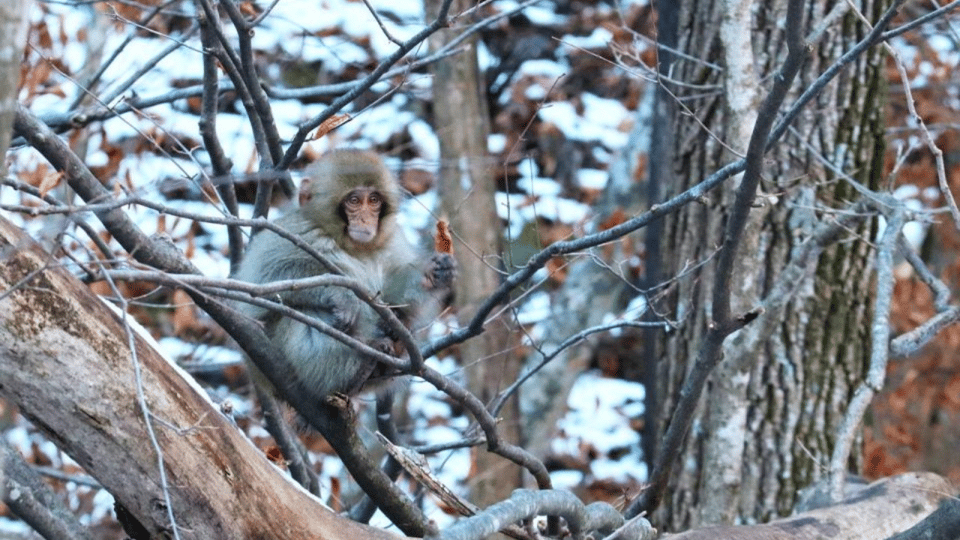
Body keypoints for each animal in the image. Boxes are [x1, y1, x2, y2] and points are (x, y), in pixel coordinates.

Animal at [234, 148, 456, 400]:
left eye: (373, 200)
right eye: (354, 201)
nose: (365, 219)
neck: (353, 246)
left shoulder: (393, 240)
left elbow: (395, 294)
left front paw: (431, 276)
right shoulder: (293, 231)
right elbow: (266, 280)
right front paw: (343, 295)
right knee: (301, 314)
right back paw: (355, 368)